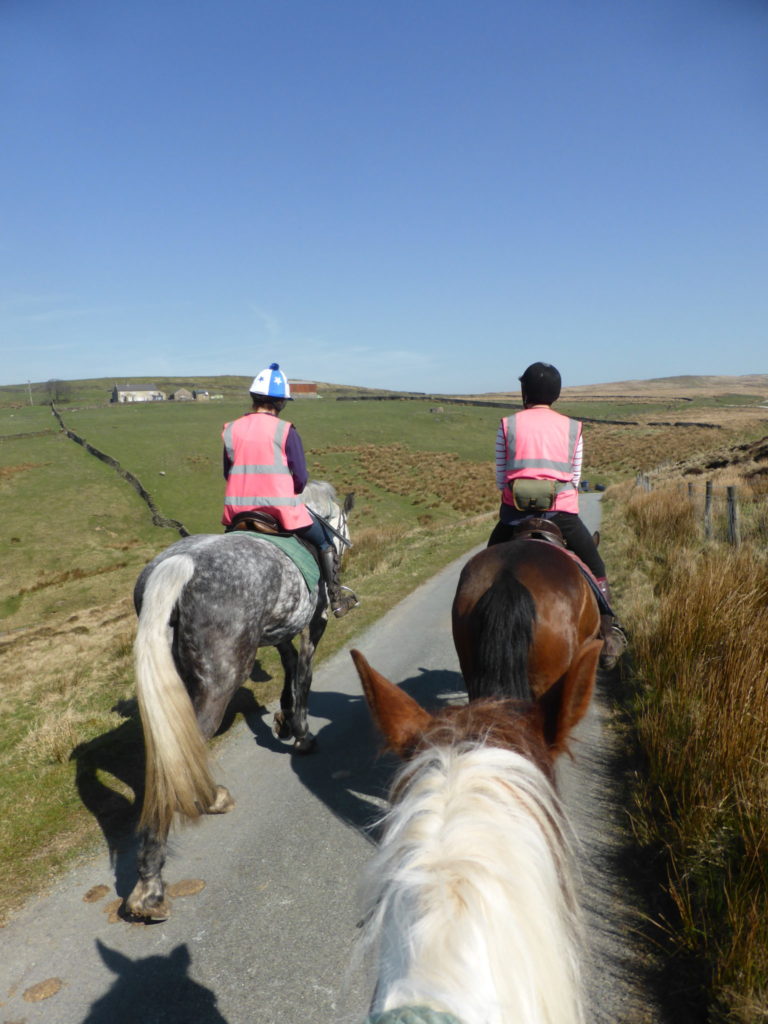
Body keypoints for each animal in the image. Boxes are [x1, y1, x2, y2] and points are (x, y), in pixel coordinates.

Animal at [126, 479, 354, 921]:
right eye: (343, 523)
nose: (345, 545)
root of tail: (178, 565)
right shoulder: (313, 625)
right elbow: (304, 673)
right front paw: (301, 733)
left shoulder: (281, 629)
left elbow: (288, 666)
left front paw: (283, 719)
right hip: (220, 678)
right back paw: (152, 883)